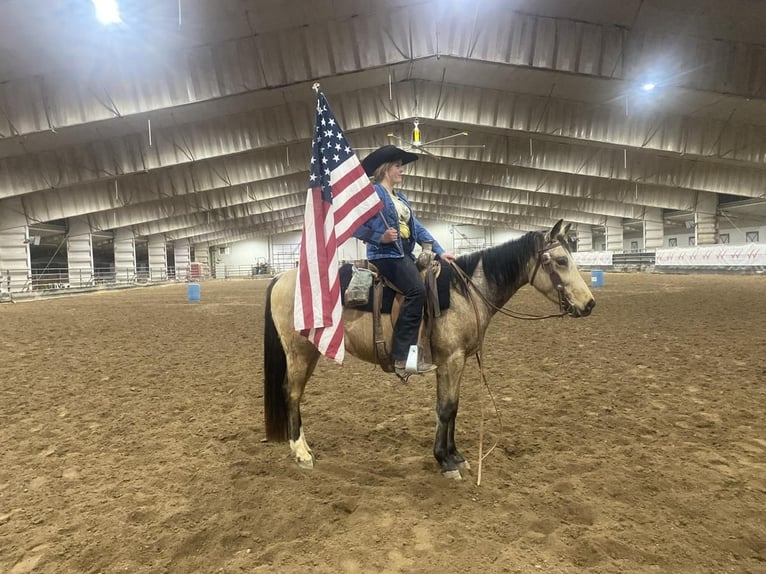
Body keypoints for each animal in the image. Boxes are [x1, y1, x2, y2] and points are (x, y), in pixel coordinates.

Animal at [260, 222, 596, 482]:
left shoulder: (453, 361)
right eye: (561, 260)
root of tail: (280, 278)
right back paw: (300, 453)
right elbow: (446, 408)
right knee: (291, 392)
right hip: (299, 351)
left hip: (310, 353)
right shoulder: (452, 359)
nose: (590, 303)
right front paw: (445, 461)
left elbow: (451, 407)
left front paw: (455, 456)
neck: (465, 292)